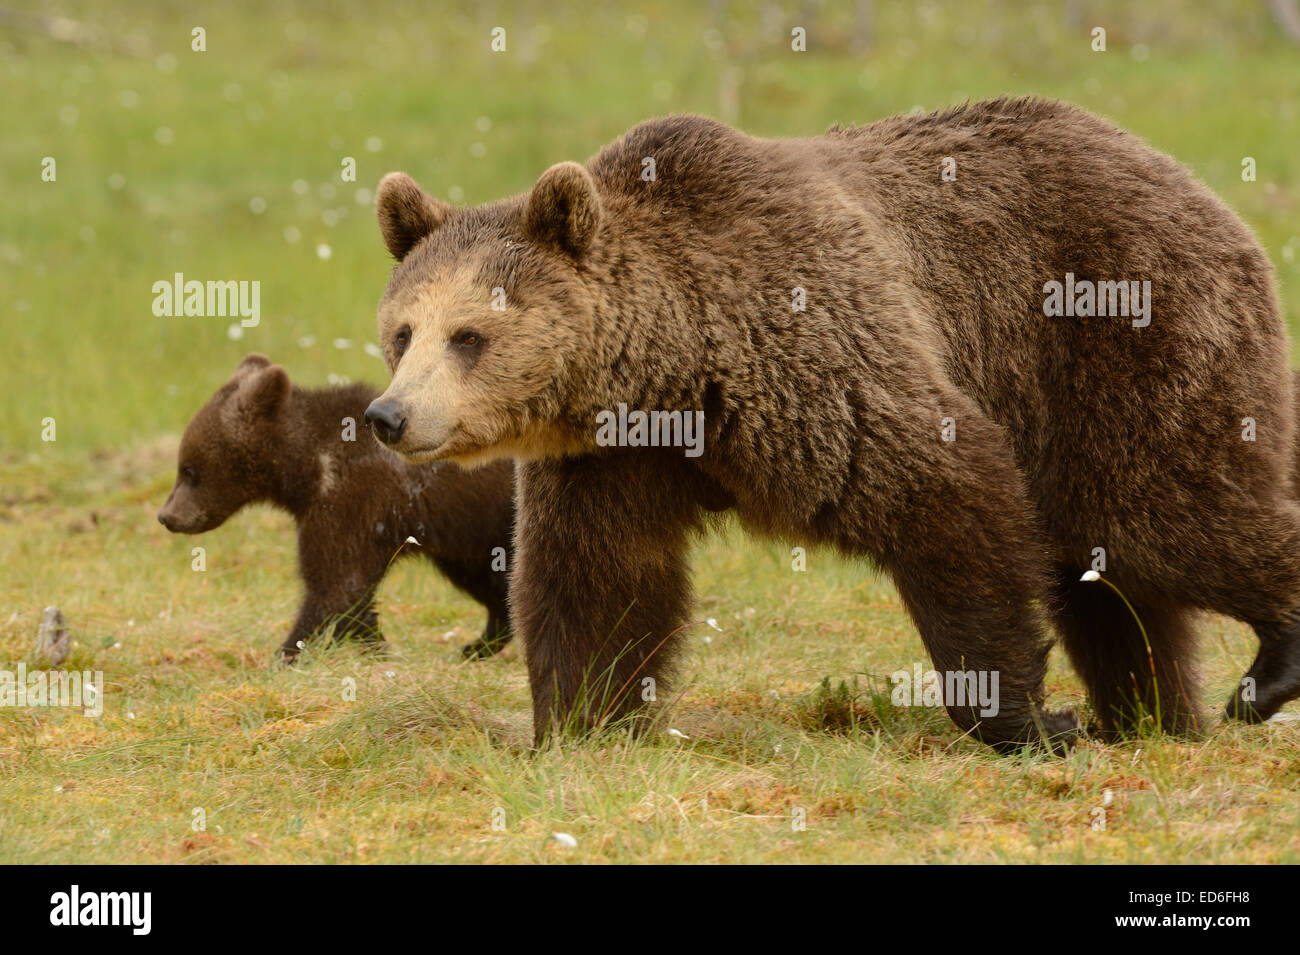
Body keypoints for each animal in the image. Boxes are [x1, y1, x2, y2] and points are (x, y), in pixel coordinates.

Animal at [158, 354, 516, 661]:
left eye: (189, 469)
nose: (166, 516)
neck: (308, 469)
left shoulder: (349, 501)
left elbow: (334, 585)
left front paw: (285, 653)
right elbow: (350, 592)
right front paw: (374, 644)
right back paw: (476, 646)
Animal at [362, 96, 1300, 749]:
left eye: (469, 335)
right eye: (403, 330)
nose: (389, 415)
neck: (675, 368)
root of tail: (1186, 179)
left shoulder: (815, 360)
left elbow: (945, 497)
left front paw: (1027, 721)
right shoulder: (616, 457)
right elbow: (598, 578)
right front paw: (578, 722)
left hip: (1114, 338)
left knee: (1163, 510)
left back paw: (1262, 672)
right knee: (1109, 570)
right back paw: (1149, 712)